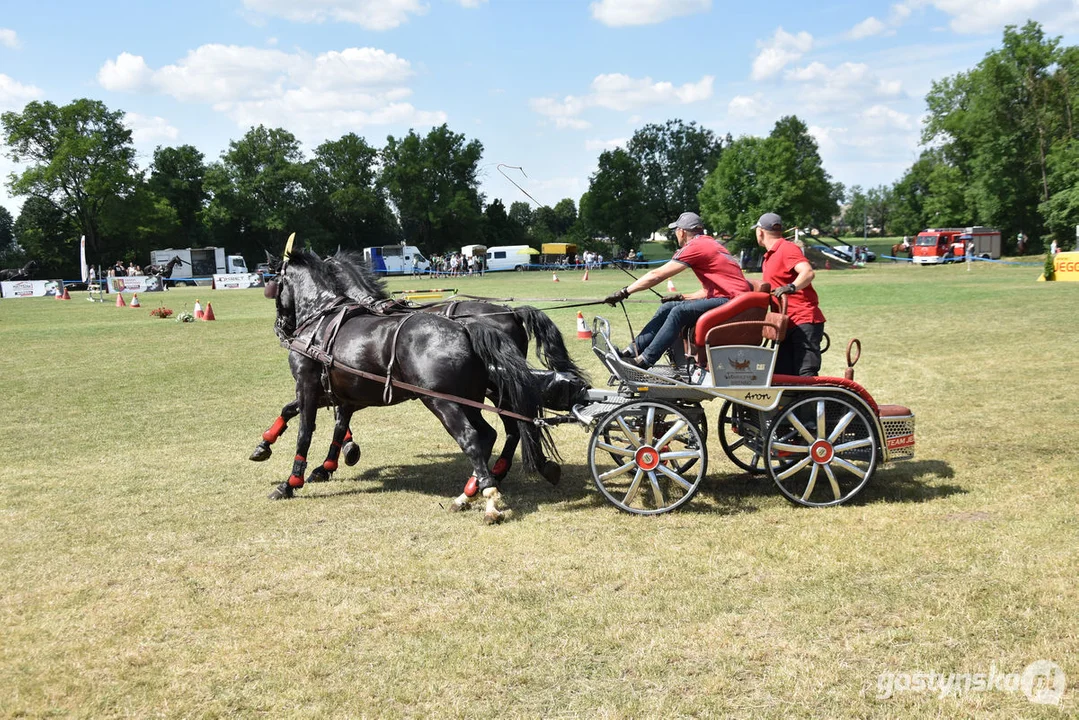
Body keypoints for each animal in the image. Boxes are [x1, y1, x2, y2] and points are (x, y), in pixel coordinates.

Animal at [248, 249, 586, 490]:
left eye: (272, 284)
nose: (282, 327)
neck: (323, 315)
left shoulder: (308, 383)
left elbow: (306, 428)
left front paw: (293, 480)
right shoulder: (344, 391)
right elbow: (326, 422)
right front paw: (306, 456)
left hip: (458, 397)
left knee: (505, 428)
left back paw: (496, 476)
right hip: (477, 394)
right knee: (504, 428)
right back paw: (499, 475)